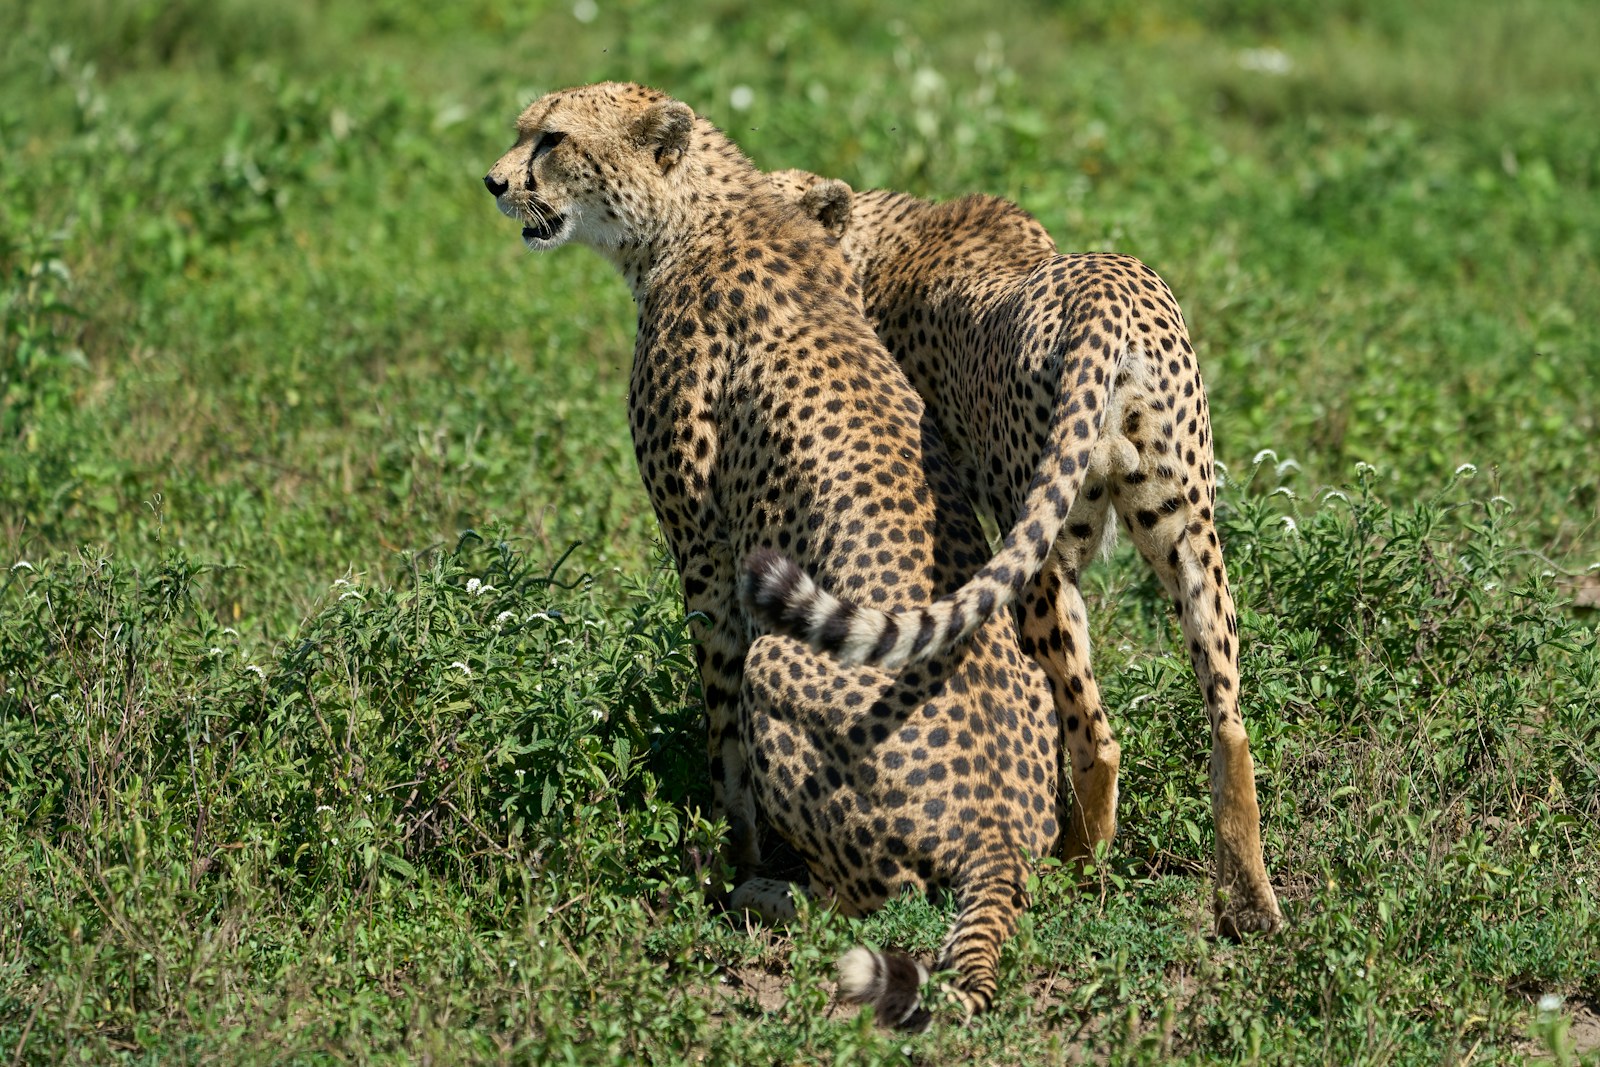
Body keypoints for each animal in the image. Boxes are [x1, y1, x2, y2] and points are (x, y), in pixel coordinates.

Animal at [480, 81, 1068, 1017]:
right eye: (522, 131)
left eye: (553, 139)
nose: (495, 182)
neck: (694, 218)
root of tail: (999, 834)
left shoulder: (703, 547)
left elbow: (720, 715)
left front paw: (730, 847)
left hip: (787, 662)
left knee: (882, 895)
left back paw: (772, 893)